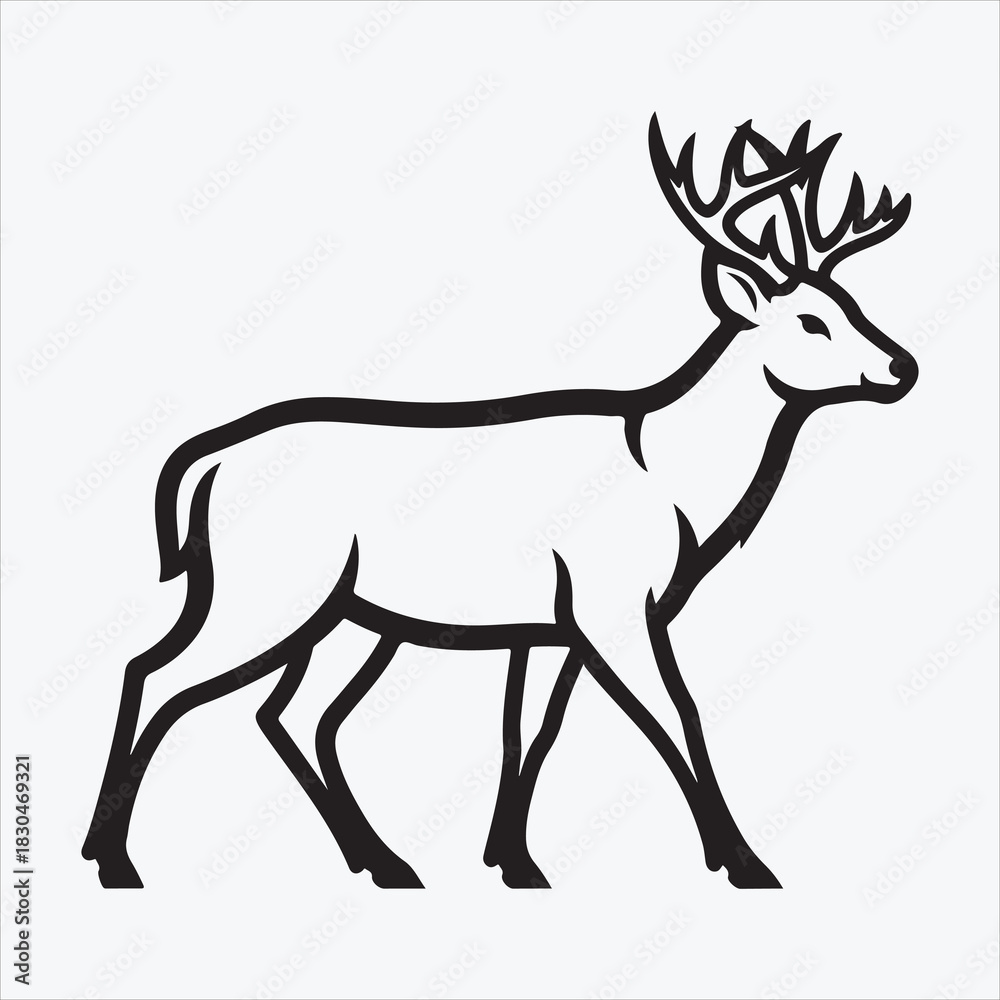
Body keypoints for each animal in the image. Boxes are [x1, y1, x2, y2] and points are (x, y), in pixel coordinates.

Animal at [82, 114, 916, 891]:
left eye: (853, 302)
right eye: (811, 319)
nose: (902, 367)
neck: (677, 485)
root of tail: (206, 461)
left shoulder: (551, 624)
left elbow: (534, 729)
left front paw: (513, 860)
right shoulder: (613, 599)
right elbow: (676, 713)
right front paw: (745, 862)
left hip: (350, 614)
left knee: (289, 713)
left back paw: (384, 861)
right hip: (266, 586)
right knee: (157, 674)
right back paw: (113, 858)